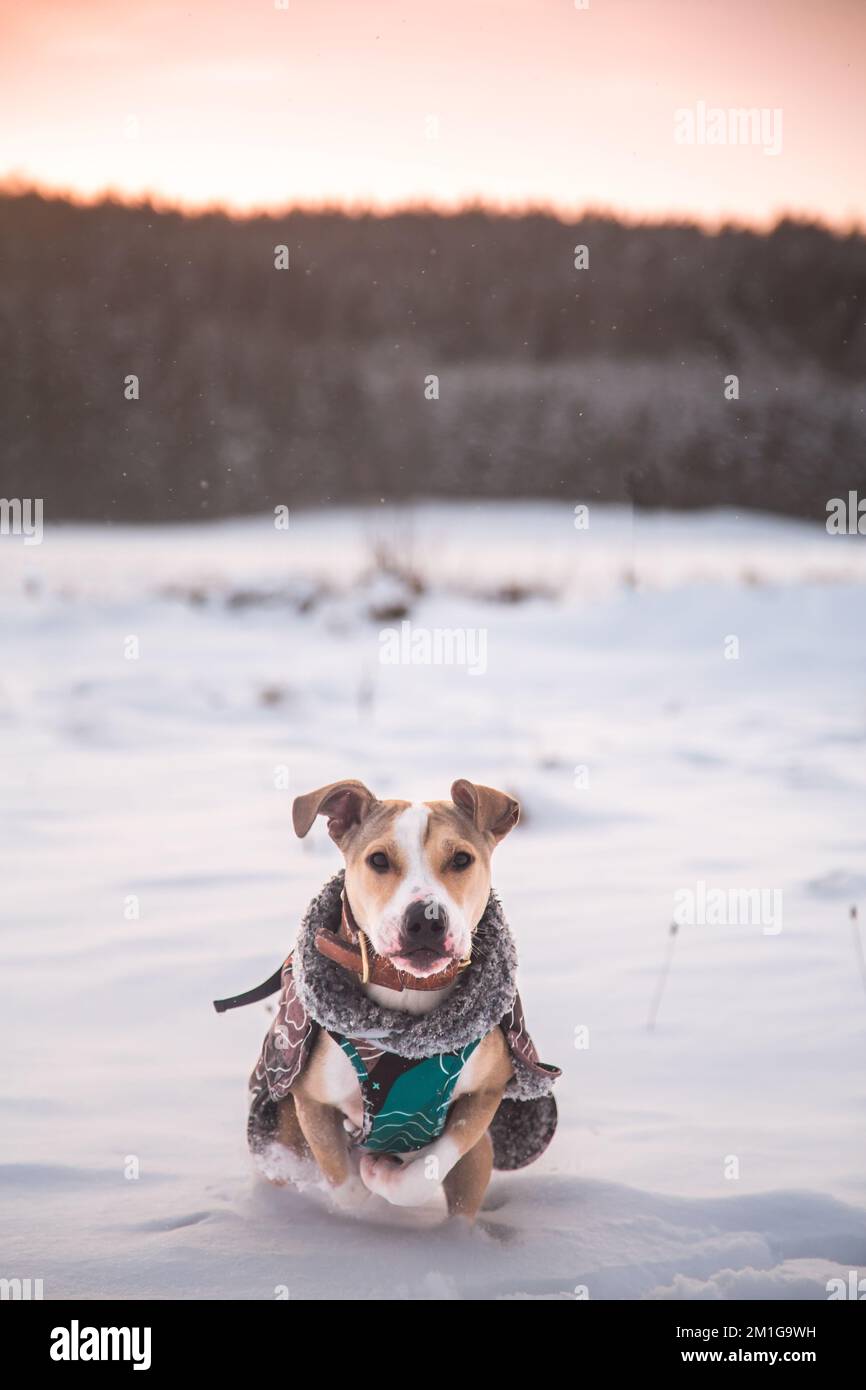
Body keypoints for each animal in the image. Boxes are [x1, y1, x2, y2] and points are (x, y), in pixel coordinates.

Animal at [272, 778, 522, 1223]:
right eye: (378, 860)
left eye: (461, 858)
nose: (426, 918)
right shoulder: (310, 1101)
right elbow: (347, 1185)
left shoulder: (486, 1091)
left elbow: (429, 1166)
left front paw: (384, 1174)